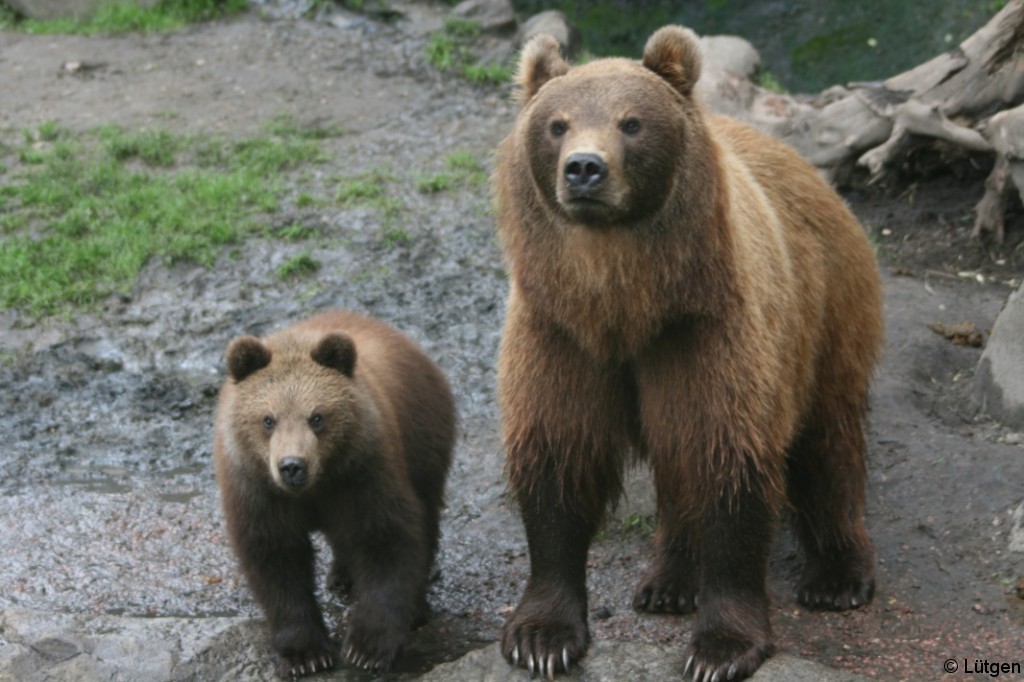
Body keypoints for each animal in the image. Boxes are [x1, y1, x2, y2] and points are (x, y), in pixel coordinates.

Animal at [491, 23, 884, 675]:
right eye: (558, 124)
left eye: (631, 122)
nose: (584, 169)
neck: (625, 302)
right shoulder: (558, 331)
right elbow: (558, 457)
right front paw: (541, 636)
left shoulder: (706, 327)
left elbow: (727, 458)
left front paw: (721, 646)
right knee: (676, 467)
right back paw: (668, 580)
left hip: (826, 311)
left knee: (827, 438)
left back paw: (837, 575)